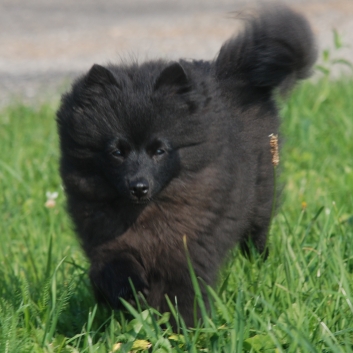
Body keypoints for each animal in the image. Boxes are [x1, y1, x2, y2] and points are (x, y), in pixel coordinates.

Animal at [56, 5, 314, 324]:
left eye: (159, 150)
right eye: (117, 151)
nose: (138, 186)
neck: (146, 212)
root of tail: (231, 73)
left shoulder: (187, 246)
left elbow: (183, 288)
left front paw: (185, 326)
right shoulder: (107, 240)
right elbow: (115, 265)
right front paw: (129, 292)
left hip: (260, 201)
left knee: (256, 237)